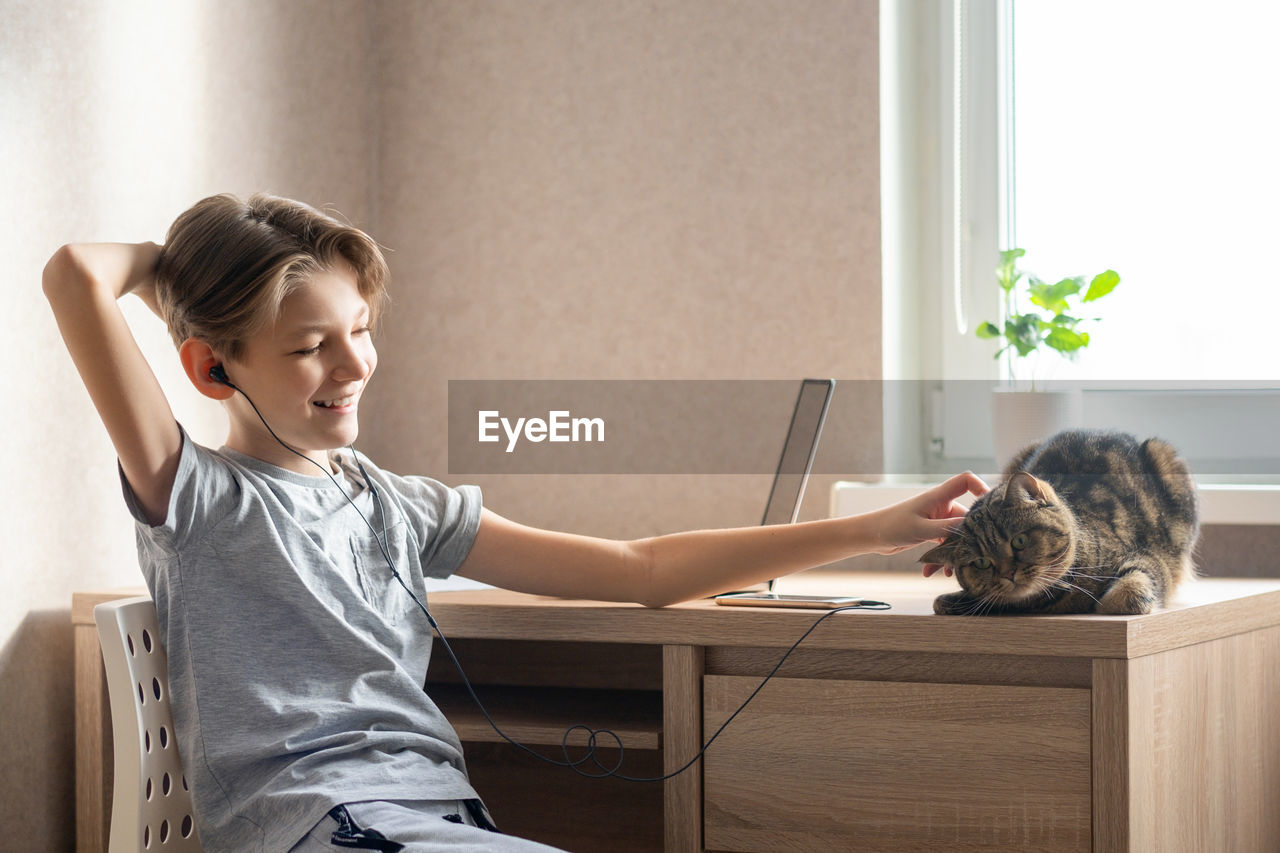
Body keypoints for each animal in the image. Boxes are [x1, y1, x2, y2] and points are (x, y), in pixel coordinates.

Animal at [921, 427, 1198, 614]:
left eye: (1019, 541)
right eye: (981, 562)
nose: (1008, 573)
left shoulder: (1149, 559)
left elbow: (1126, 592)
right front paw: (957, 600)